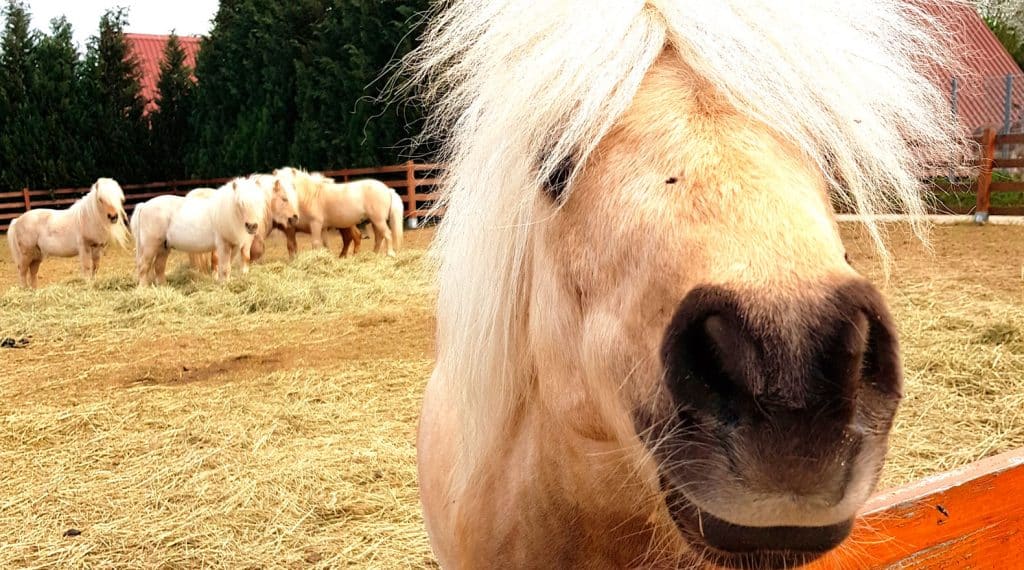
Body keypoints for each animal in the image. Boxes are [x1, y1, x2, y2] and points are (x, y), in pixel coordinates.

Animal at [131, 178, 268, 284]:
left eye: (258, 202)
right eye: (240, 203)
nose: (252, 226)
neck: (228, 212)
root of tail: (144, 205)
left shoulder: (233, 247)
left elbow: (226, 267)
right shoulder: (223, 245)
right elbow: (225, 268)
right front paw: (224, 285)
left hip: (163, 247)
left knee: (159, 267)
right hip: (150, 246)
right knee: (144, 267)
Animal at [272, 166, 403, 257]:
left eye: (292, 184)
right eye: (278, 184)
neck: (311, 196)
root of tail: (387, 189)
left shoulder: (315, 224)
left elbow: (315, 243)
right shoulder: (323, 228)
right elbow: (325, 244)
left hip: (378, 220)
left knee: (387, 234)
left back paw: (390, 254)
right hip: (375, 221)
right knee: (379, 237)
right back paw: (374, 254)